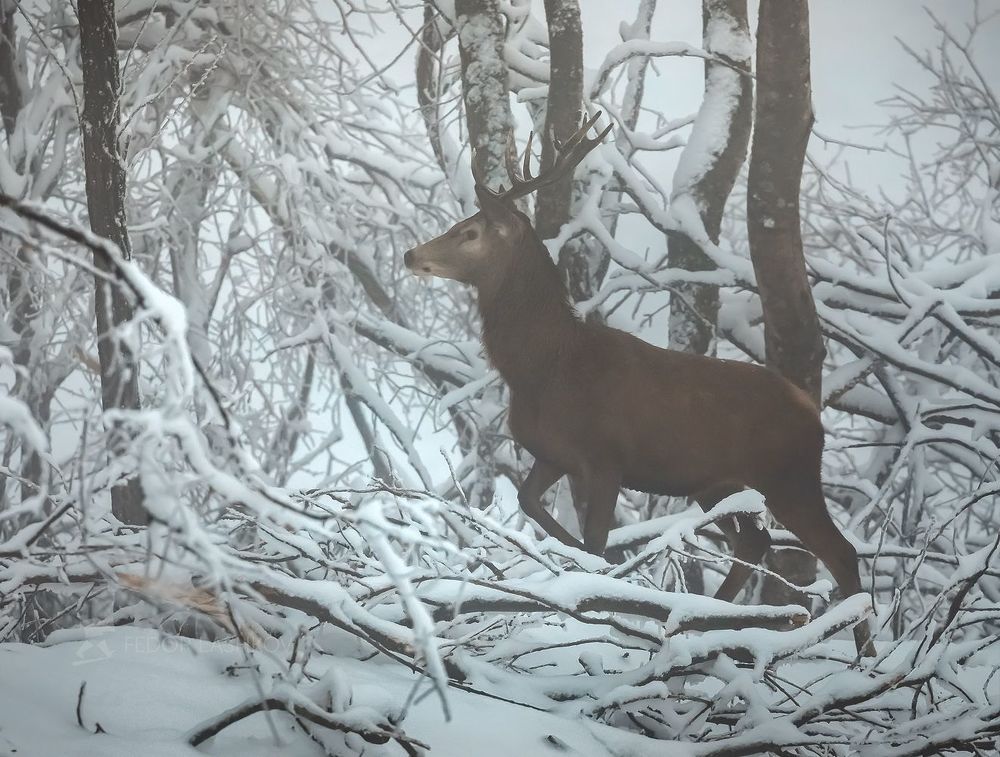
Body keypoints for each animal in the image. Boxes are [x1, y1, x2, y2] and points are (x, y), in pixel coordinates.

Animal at [404, 113, 874, 657]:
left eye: (471, 231)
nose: (410, 253)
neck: (544, 368)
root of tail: (813, 416)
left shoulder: (607, 457)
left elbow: (595, 540)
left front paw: (597, 589)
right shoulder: (553, 453)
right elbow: (530, 504)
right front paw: (581, 568)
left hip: (790, 475)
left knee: (841, 552)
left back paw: (866, 656)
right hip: (716, 483)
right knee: (754, 541)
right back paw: (707, 621)